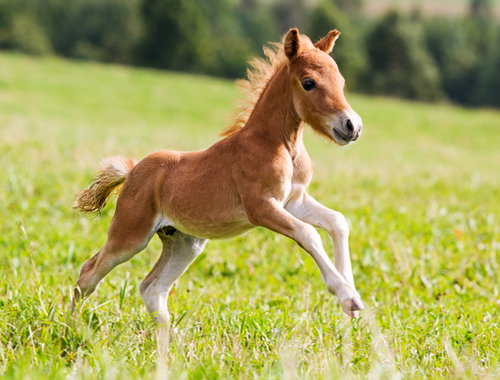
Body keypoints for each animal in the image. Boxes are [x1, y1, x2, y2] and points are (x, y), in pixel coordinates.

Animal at [72, 28, 364, 322]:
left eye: (341, 81)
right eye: (308, 83)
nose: (352, 126)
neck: (280, 145)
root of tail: (132, 170)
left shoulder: (293, 200)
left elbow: (337, 221)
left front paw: (350, 290)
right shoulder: (260, 207)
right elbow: (308, 233)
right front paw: (347, 295)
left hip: (185, 243)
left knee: (152, 288)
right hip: (131, 235)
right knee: (88, 274)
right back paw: (73, 328)